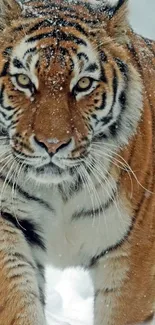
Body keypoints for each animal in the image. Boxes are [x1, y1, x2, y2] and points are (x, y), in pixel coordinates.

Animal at [0, 0, 155, 322]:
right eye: (23, 80)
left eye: (83, 84)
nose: (52, 144)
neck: (61, 190)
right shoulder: (7, 220)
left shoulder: (135, 255)